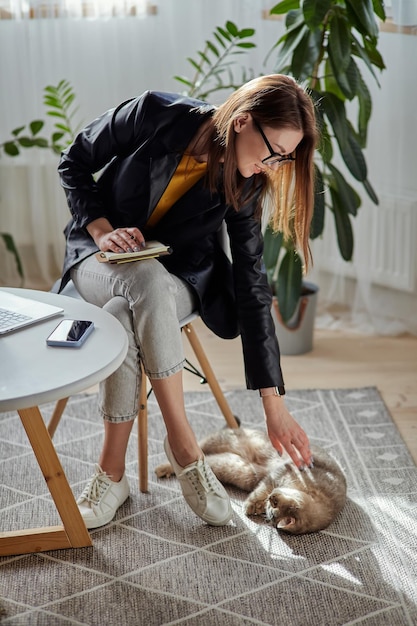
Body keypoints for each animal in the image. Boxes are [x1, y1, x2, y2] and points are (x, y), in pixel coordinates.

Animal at [154, 424, 346, 532]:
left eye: (273, 506)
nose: (272, 497)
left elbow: (260, 493)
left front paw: (256, 506)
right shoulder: (277, 475)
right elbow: (260, 491)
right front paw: (252, 504)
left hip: (236, 468)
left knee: (208, 459)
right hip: (223, 441)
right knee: (200, 443)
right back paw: (163, 467)